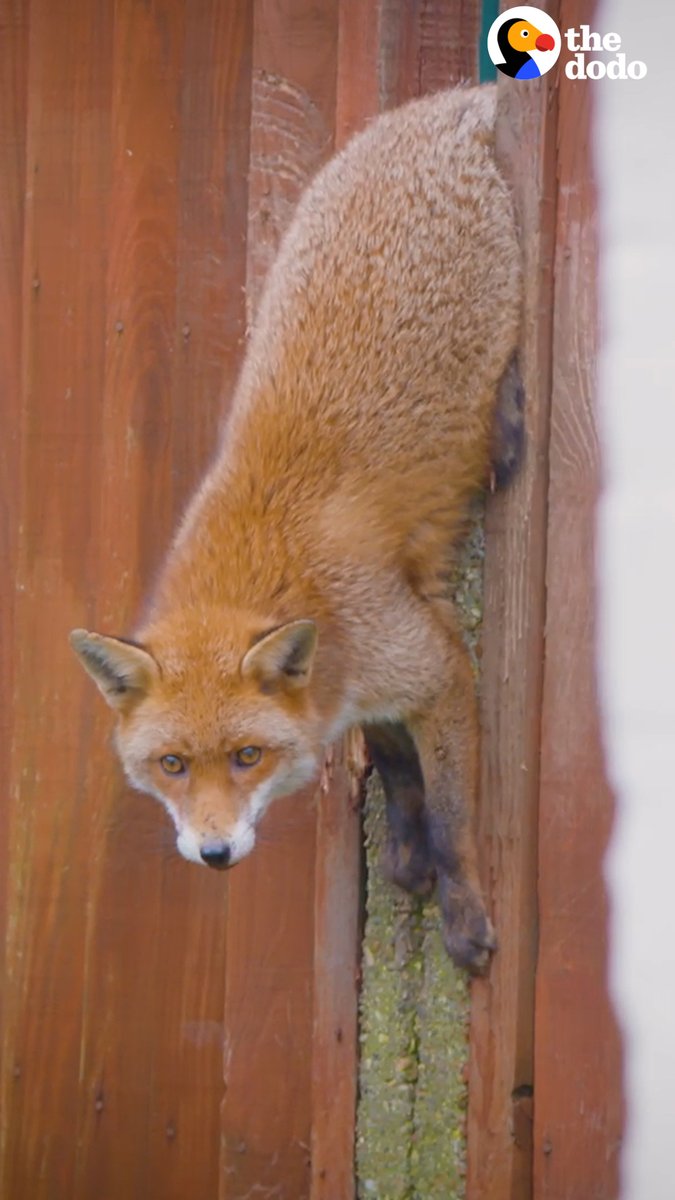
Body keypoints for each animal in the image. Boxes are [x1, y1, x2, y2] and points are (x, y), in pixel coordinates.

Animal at [71, 84, 522, 973]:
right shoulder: (360, 688)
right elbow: (396, 770)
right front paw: (406, 858)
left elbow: (451, 817)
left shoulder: (435, 665)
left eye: (248, 757)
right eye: (172, 765)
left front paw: (462, 916)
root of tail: (439, 102)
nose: (214, 855)